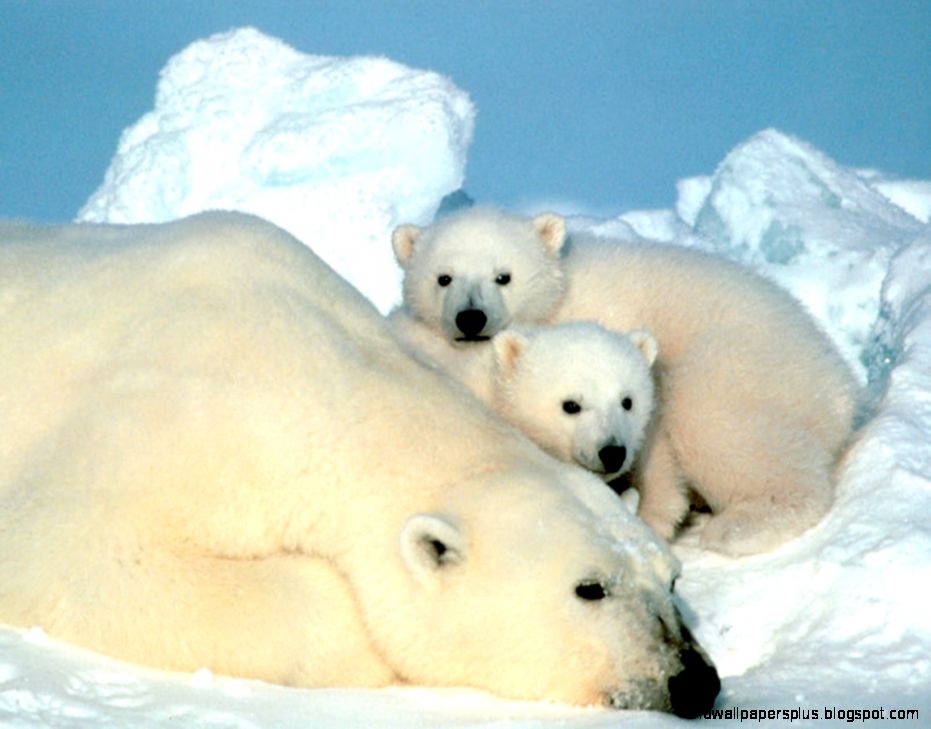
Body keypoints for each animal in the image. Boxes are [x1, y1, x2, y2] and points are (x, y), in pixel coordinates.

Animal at [390, 206, 860, 557]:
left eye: (503, 276)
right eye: (443, 277)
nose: (471, 318)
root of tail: (839, 385)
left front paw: (649, 514)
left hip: (745, 363)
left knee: (719, 424)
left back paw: (740, 526)